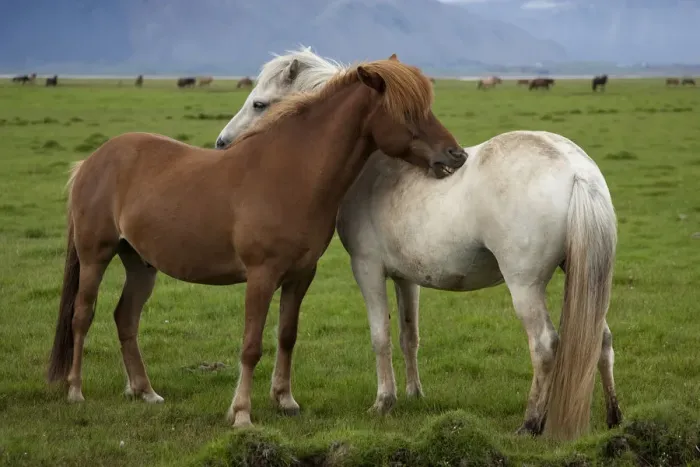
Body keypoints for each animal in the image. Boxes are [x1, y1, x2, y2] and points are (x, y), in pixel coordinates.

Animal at [47, 55, 467, 429]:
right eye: (408, 112)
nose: (456, 155)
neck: (290, 171)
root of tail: (92, 161)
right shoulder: (261, 277)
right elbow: (251, 346)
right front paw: (242, 414)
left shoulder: (300, 276)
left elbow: (286, 336)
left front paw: (285, 400)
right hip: (95, 257)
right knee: (82, 315)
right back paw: (75, 391)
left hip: (140, 264)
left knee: (125, 317)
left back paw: (144, 391)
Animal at [216, 46, 622, 442]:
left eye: (260, 104)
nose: (223, 144)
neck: (373, 166)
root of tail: (576, 170)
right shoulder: (405, 277)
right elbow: (408, 335)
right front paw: (414, 394)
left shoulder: (367, 268)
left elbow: (380, 335)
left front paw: (384, 401)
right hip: (585, 277)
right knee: (600, 339)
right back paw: (614, 416)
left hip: (524, 286)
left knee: (545, 344)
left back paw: (531, 423)